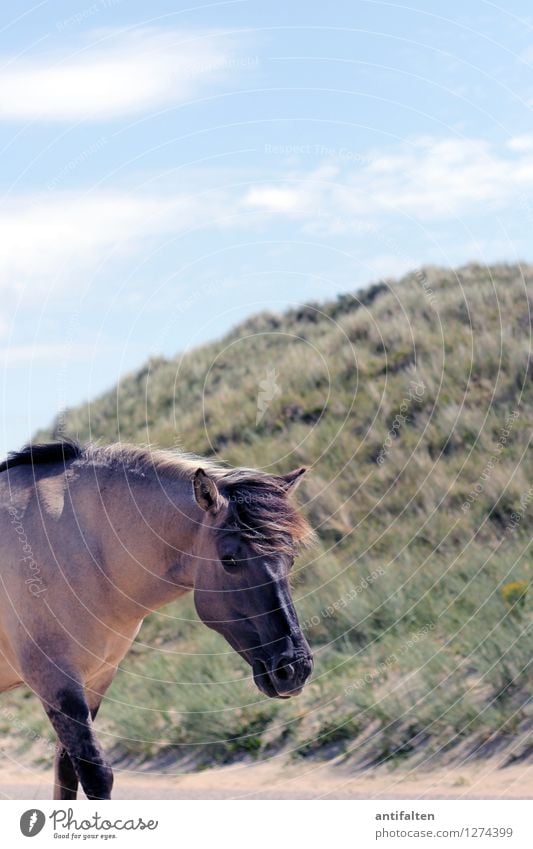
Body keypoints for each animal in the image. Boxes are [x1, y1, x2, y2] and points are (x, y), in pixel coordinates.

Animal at [0, 440, 312, 800]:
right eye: (230, 559)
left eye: (291, 558)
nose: (294, 668)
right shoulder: (55, 681)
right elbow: (95, 774)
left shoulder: (96, 679)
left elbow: (66, 773)